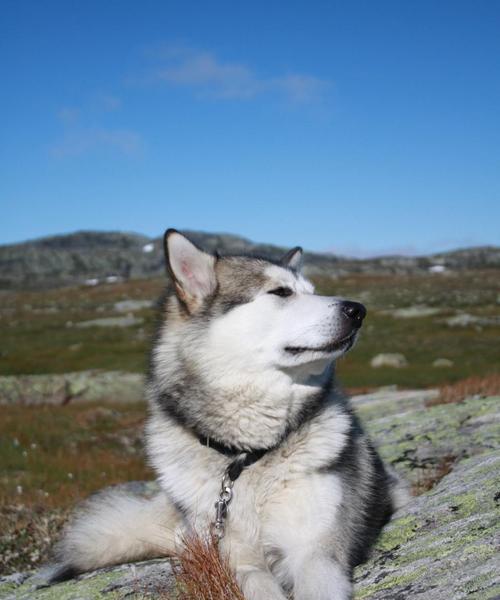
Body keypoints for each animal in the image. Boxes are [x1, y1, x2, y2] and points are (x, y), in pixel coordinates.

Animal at [48, 229, 406, 596]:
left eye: (312, 291)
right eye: (281, 292)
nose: (358, 310)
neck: (245, 456)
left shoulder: (316, 552)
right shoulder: (236, 560)